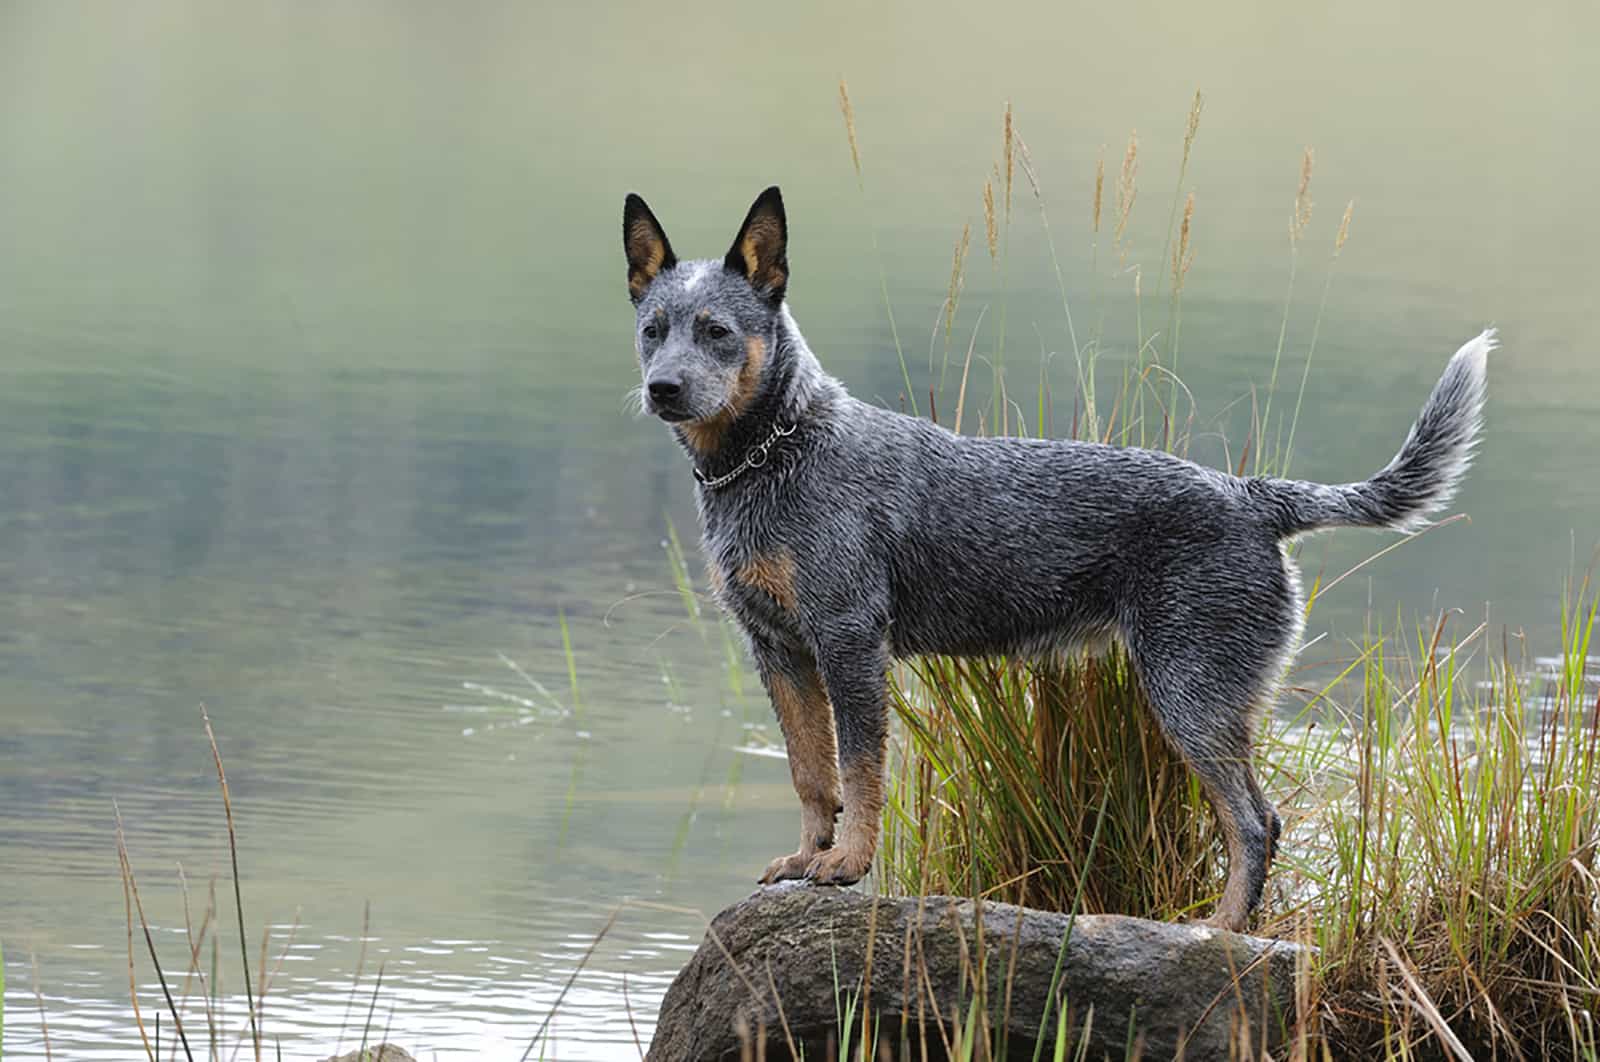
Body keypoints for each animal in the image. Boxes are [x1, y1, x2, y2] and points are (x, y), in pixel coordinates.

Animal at [620, 188, 1484, 927]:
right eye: (654, 328)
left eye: (717, 331)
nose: (662, 389)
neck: (775, 454)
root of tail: (1251, 496)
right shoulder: (778, 650)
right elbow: (811, 774)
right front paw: (808, 859)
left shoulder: (850, 644)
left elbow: (860, 773)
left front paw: (847, 865)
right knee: (1260, 819)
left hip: (1190, 697)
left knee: (1254, 822)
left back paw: (1220, 931)